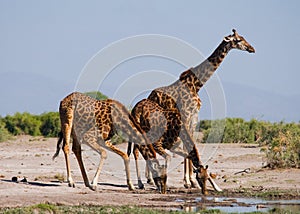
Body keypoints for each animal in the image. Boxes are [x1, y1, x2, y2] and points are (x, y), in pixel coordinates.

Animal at [142, 29, 254, 188]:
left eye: (243, 37)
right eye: (238, 40)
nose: (252, 49)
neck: (196, 84)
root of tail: (150, 95)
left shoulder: (194, 118)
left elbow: (190, 145)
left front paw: (191, 181)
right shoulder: (186, 116)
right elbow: (187, 146)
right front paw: (188, 181)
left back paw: (150, 178)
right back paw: (150, 178)